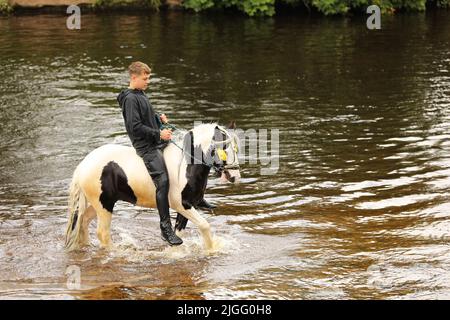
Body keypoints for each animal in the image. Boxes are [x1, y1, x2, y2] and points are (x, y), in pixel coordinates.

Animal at [64, 121, 241, 251]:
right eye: (224, 149)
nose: (235, 176)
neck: (186, 165)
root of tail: (83, 165)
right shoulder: (182, 205)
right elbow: (204, 226)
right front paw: (212, 250)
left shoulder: (188, 206)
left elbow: (180, 232)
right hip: (104, 204)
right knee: (102, 233)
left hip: (100, 203)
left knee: (83, 221)